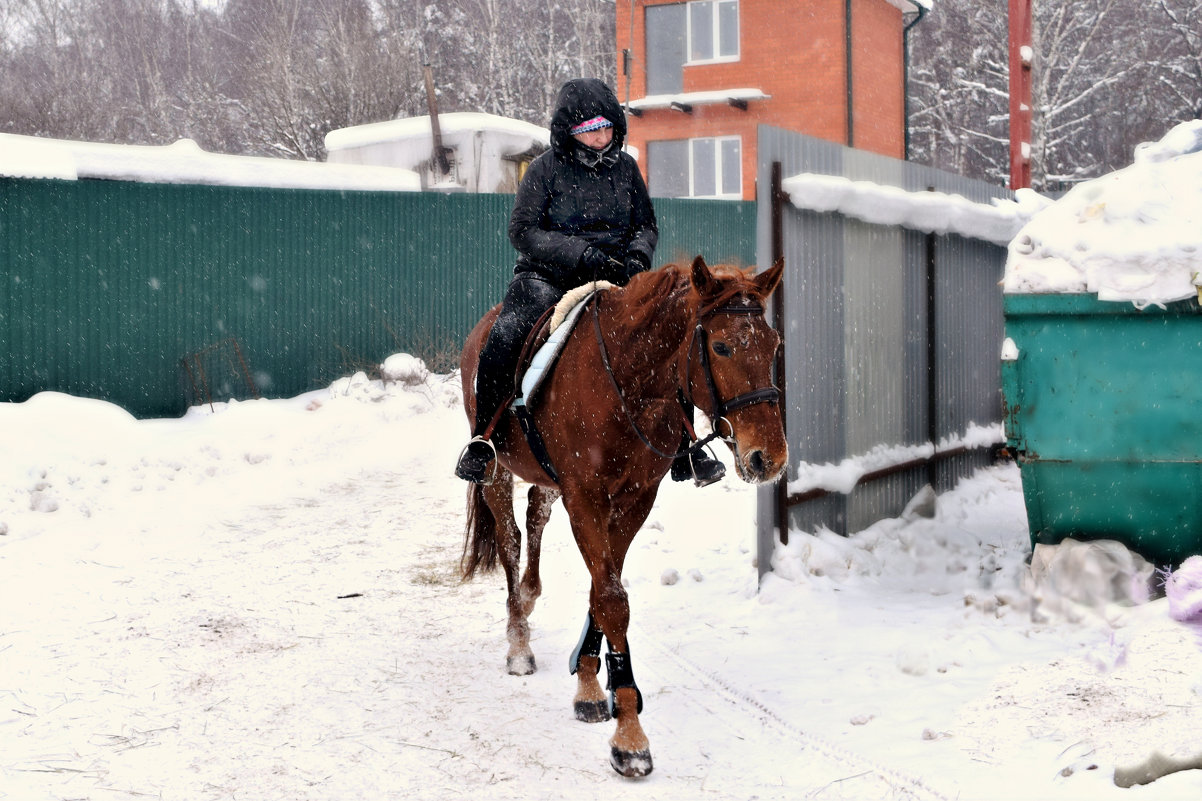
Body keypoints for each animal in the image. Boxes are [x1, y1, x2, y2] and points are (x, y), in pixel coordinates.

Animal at [459, 256, 788, 774]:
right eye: (720, 345)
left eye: (774, 345)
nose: (768, 458)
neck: (628, 383)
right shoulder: (586, 499)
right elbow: (612, 599)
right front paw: (629, 737)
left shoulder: (635, 499)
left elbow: (603, 590)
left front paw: (592, 686)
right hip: (494, 471)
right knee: (510, 538)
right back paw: (518, 642)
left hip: (549, 483)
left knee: (534, 516)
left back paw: (530, 599)